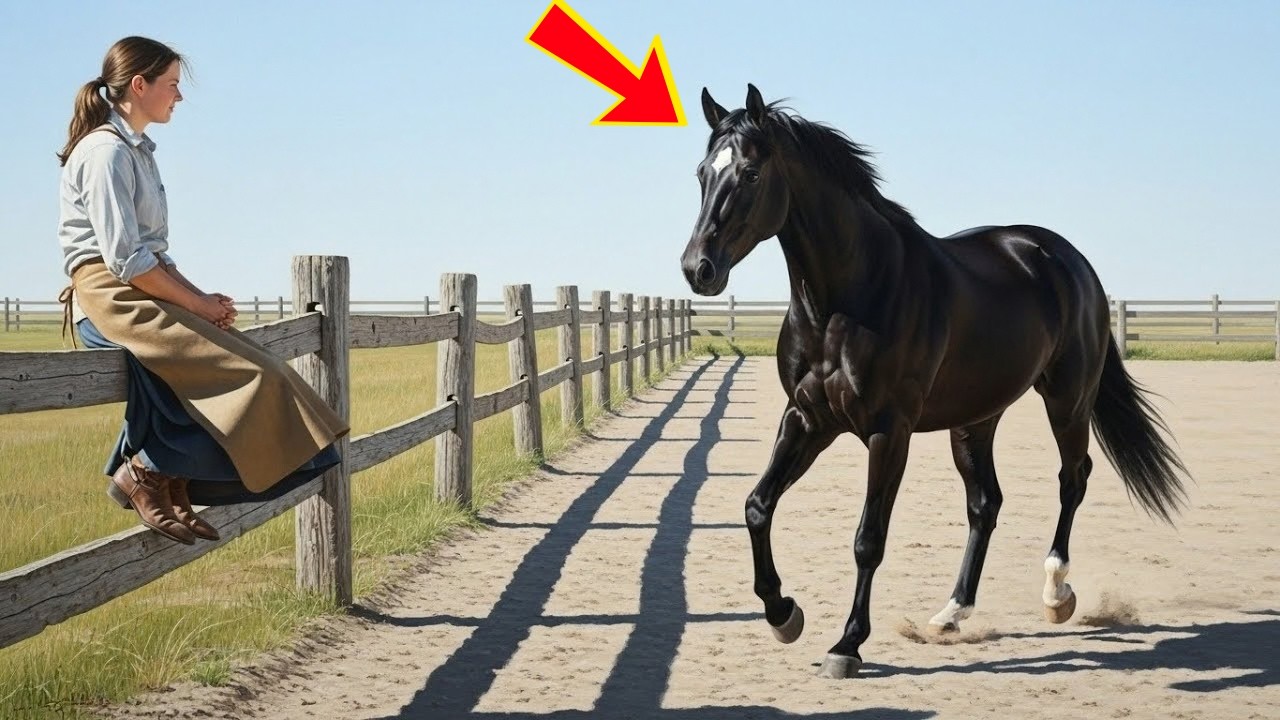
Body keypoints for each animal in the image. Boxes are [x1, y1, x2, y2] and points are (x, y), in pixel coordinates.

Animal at [679, 84, 1192, 679]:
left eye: (751, 173)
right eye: (701, 173)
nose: (699, 269)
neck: (850, 298)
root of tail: (1067, 259)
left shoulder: (888, 430)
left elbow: (868, 539)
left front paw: (847, 645)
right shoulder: (807, 419)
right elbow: (758, 506)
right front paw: (784, 614)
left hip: (1067, 400)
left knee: (1073, 478)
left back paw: (1056, 593)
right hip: (976, 420)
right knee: (986, 503)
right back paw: (951, 612)